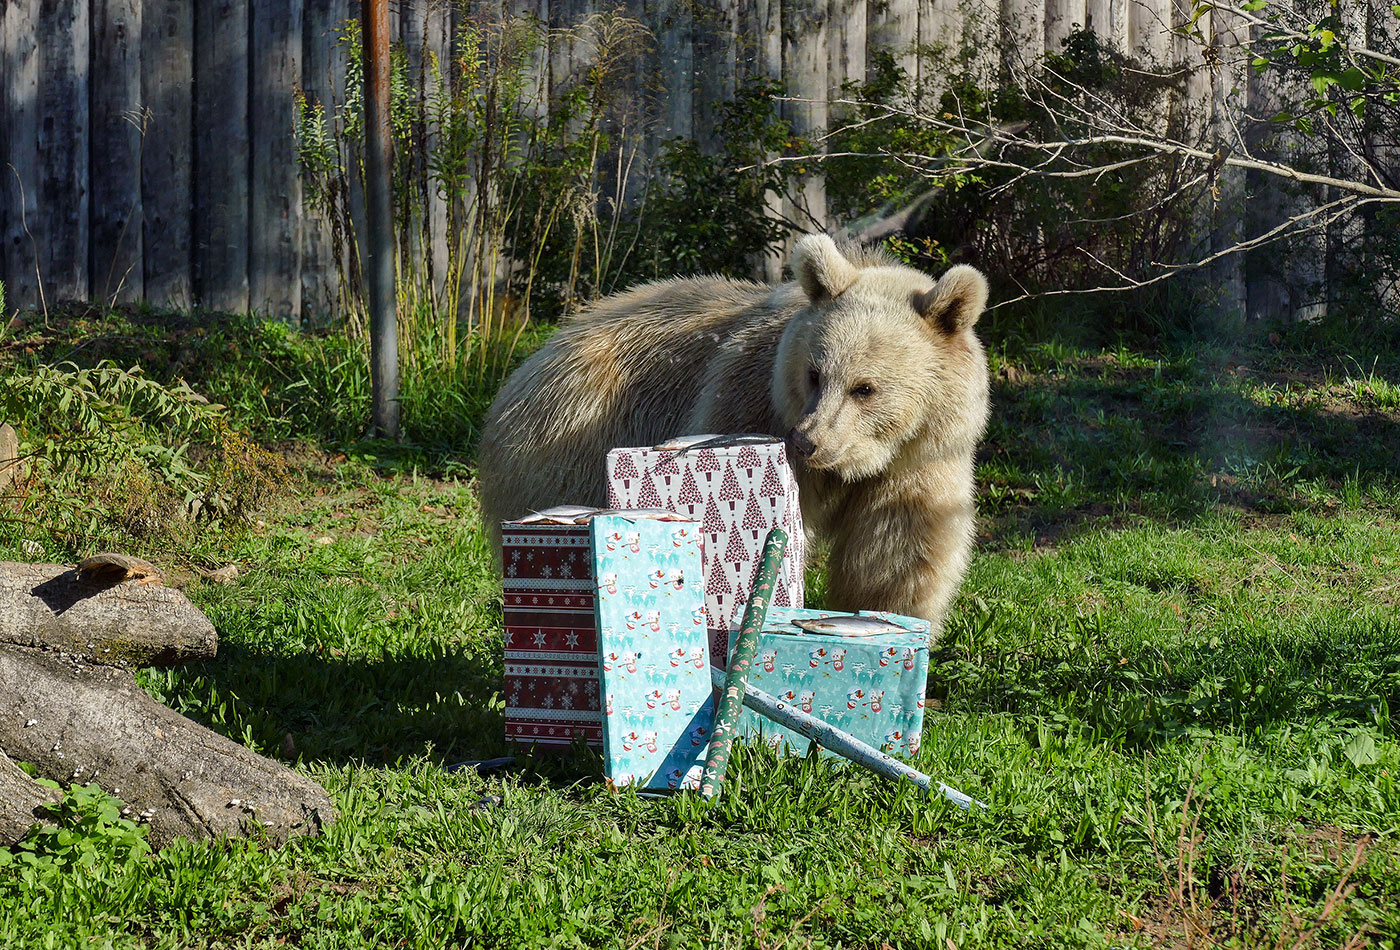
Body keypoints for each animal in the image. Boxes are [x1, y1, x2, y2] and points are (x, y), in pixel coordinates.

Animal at [476, 232, 991, 632]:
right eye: (815, 373)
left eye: (865, 388)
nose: (809, 441)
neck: (862, 461)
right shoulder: (752, 406)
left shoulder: (919, 463)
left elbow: (896, 556)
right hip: (568, 440)